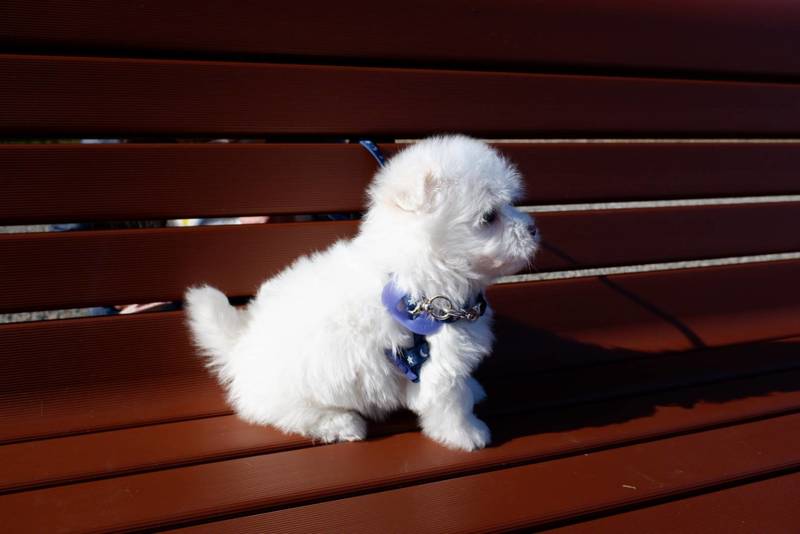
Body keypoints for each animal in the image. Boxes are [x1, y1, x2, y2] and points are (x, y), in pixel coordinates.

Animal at [185, 135, 538, 451]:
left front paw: (473, 391)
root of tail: (238, 346)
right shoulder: (438, 362)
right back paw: (340, 423)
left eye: (511, 204)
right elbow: (450, 401)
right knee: (281, 413)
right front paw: (467, 434)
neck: (418, 278)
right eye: (489, 216)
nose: (533, 229)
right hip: (294, 388)